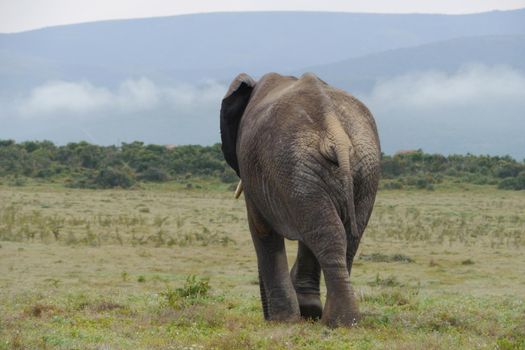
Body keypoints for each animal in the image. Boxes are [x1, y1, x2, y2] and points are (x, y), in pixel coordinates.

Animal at [219, 72, 378, 326]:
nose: (266, 317)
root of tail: (333, 128)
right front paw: (306, 311)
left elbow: (261, 229)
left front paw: (283, 320)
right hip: (354, 167)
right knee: (341, 235)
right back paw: (344, 320)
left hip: (298, 165)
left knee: (327, 233)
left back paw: (337, 321)